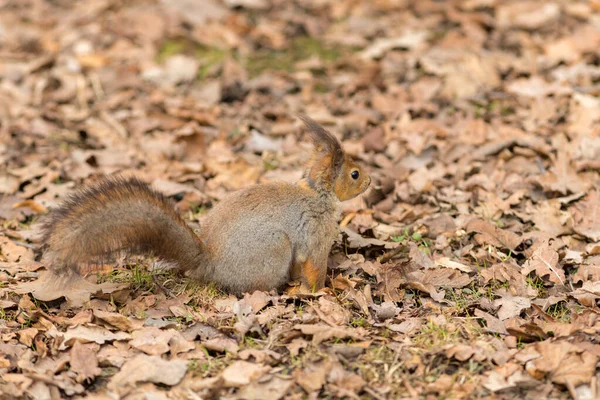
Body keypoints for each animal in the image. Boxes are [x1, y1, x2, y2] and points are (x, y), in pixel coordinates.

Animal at [41, 115, 370, 294]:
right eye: (354, 174)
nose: (369, 181)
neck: (319, 193)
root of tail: (210, 263)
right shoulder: (316, 234)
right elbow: (314, 268)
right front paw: (323, 292)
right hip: (274, 248)